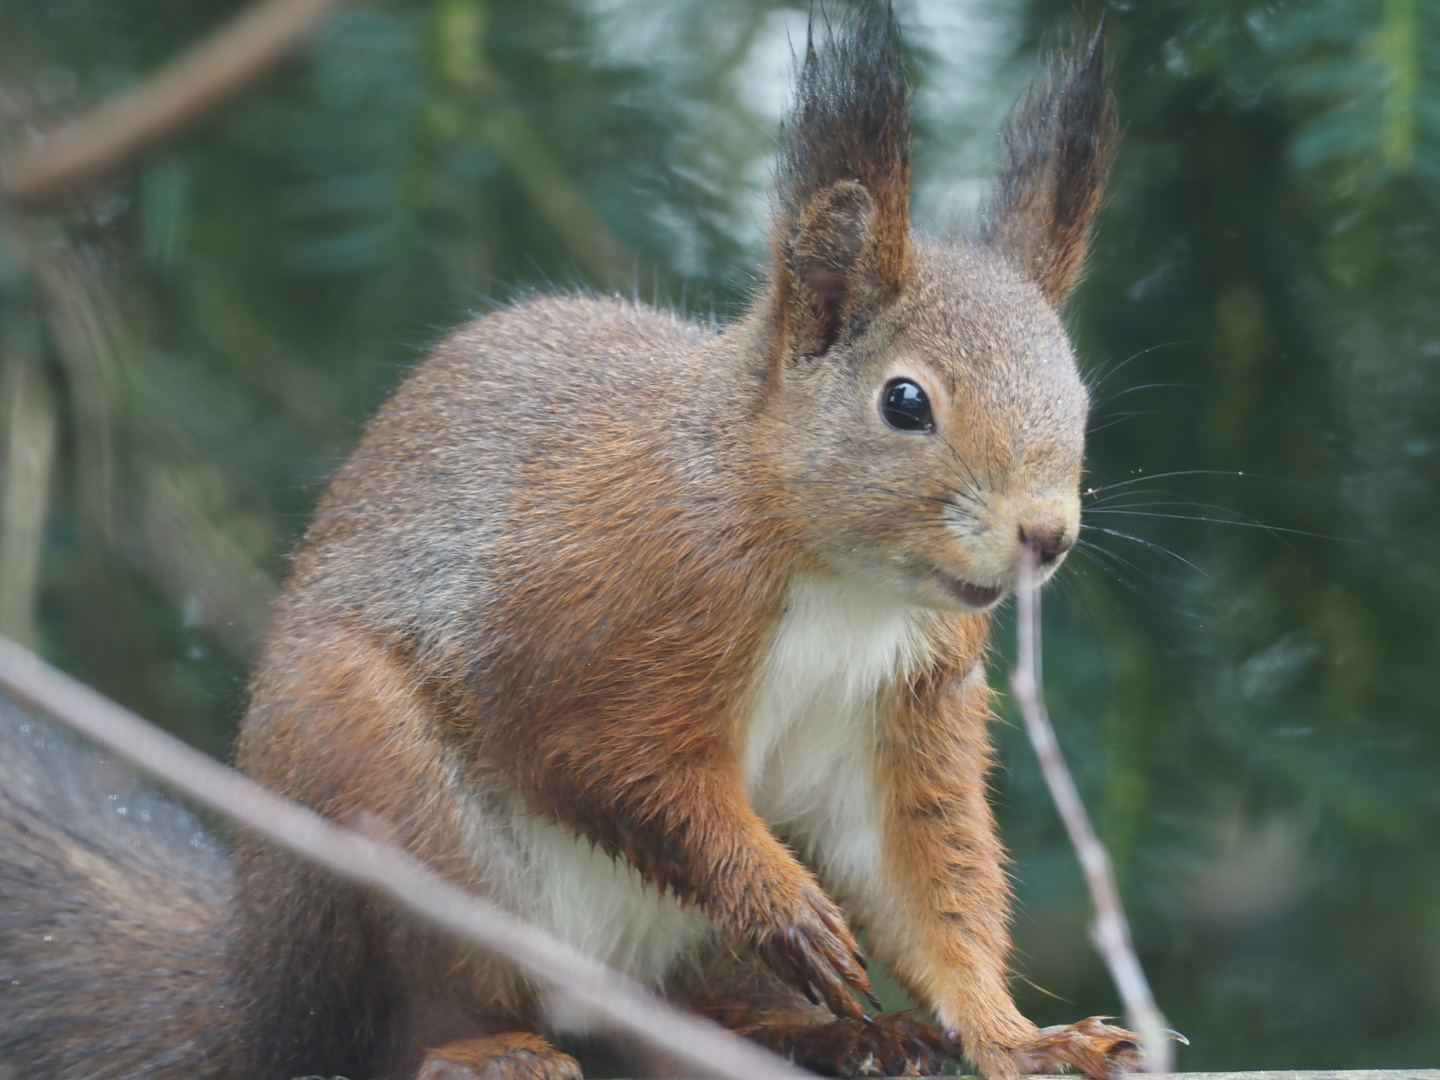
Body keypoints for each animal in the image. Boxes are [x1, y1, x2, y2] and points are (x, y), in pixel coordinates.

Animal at [2, 8, 1146, 1080]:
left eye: (1081, 399)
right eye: (906, 403)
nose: (1046, 536)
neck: (845, 583)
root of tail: (259, 985)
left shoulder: (909, 704)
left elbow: (927, 881)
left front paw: (1021, 1039)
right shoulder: (616, 598)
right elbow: (600, 755)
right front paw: (779, 899)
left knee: (700, 1011)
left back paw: (835, 1035)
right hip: (381, 804)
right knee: (414, 1008)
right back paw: (486, 1047)